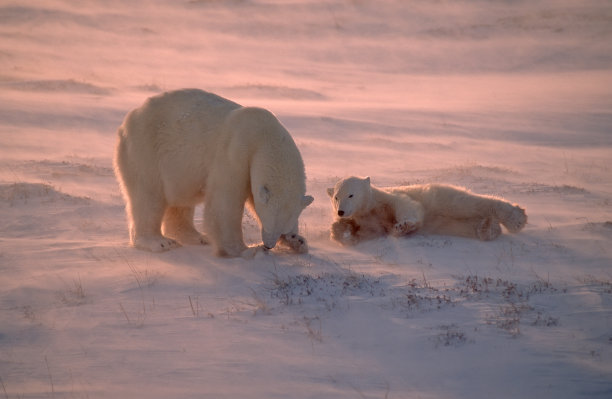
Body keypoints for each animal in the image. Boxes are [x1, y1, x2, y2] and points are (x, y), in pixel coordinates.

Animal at [113, 90, 314, 260]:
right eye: (269, 221)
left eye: (283, 227)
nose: (269, 245)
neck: (264, 136)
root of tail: (127, 122)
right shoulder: (236, 150)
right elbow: (225, 201)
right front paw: (245, 250)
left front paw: (298, 241)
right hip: (145, 148)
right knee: (148, 195)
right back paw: (160, 242)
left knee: (181, 199)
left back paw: (197, 237)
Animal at [328, 177, 528, 245]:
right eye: (336, 197)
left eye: (351, 195)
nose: (341, 212)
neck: (370, 207)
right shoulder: (367, 219)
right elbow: (368, 232)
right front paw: (343, 231)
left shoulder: (388, 199)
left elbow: (408, 206)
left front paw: (403, 227)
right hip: (443, 223)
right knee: (461, 225)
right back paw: (487, 228)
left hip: (441, 198)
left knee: (469, 204)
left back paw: (517, 218)